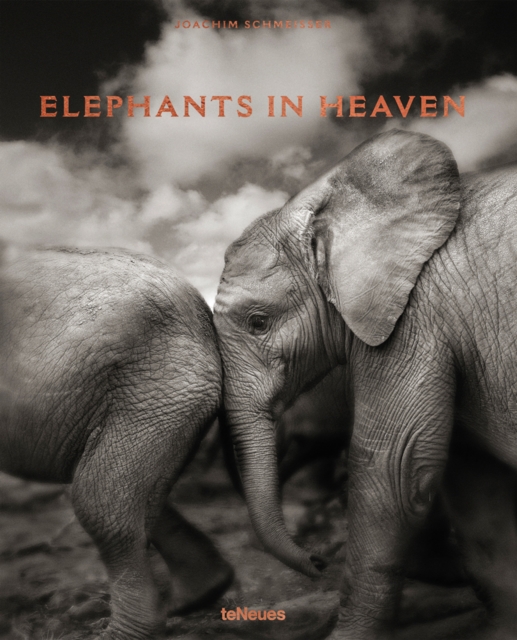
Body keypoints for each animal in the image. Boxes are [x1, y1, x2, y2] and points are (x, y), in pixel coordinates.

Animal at [0, 245, 233, 639]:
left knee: (99, 503)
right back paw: (197, 596)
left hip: (154, 392)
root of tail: (203, 317)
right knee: (135, 497)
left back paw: (123, 631)